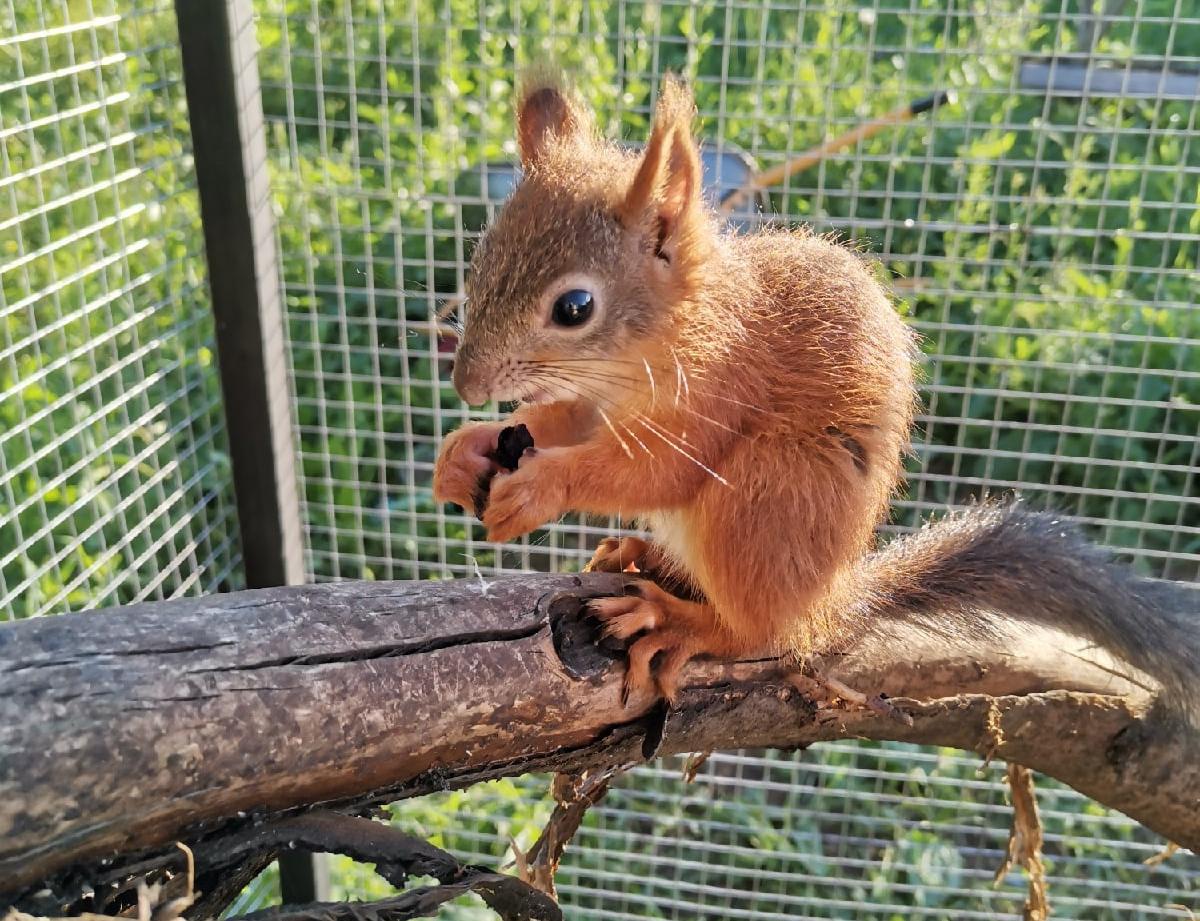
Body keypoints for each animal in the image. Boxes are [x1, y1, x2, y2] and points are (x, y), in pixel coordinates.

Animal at [434, 73, 1200, 719]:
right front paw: (466, 451)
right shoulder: (590, 400)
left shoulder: (718, 395)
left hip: (768, 495)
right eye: (480, 258)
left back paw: (684, 618)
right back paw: (647, 558)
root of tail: (831, 603)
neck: (644, 354)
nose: (466, 384)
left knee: (758, 630)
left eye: (575, 308)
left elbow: (652, 473)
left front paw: (542, 486)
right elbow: (558, 421)